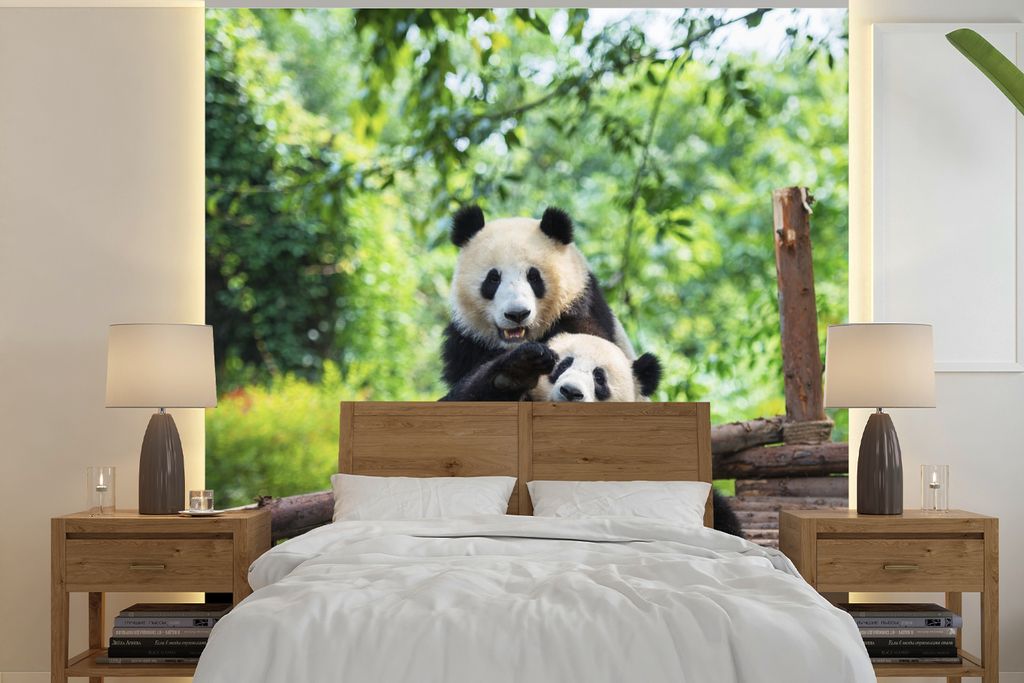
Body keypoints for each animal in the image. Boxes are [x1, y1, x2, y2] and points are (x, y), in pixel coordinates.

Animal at [441, 205, 634, 401]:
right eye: (493, 278)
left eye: (533, 277)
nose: (517, 314)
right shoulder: (467, 344)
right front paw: (517, 370)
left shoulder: (580, 314)